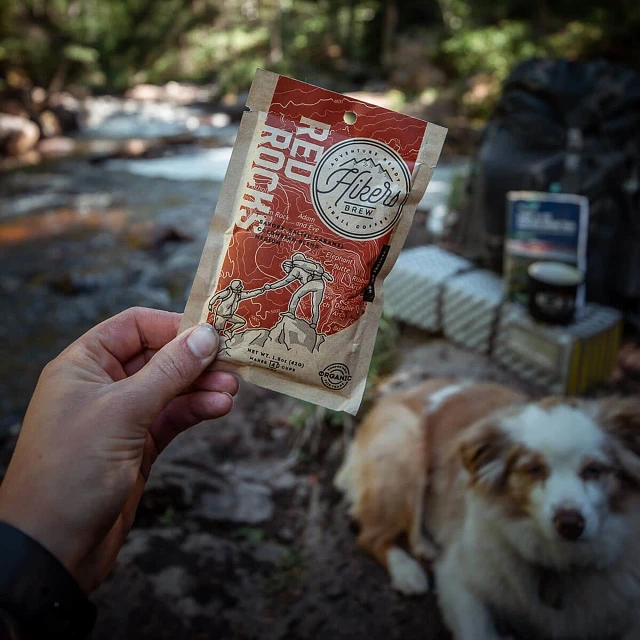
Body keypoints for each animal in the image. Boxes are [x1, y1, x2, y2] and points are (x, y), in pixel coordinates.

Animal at [332, 380, 640, 640]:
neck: (560, 565)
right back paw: (408, 571)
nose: (570, 524)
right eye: (534, 469)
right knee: (371, 536)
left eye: (594, 470)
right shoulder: (459, 580)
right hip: (405, 445)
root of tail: (398, 393)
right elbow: (477, 631)